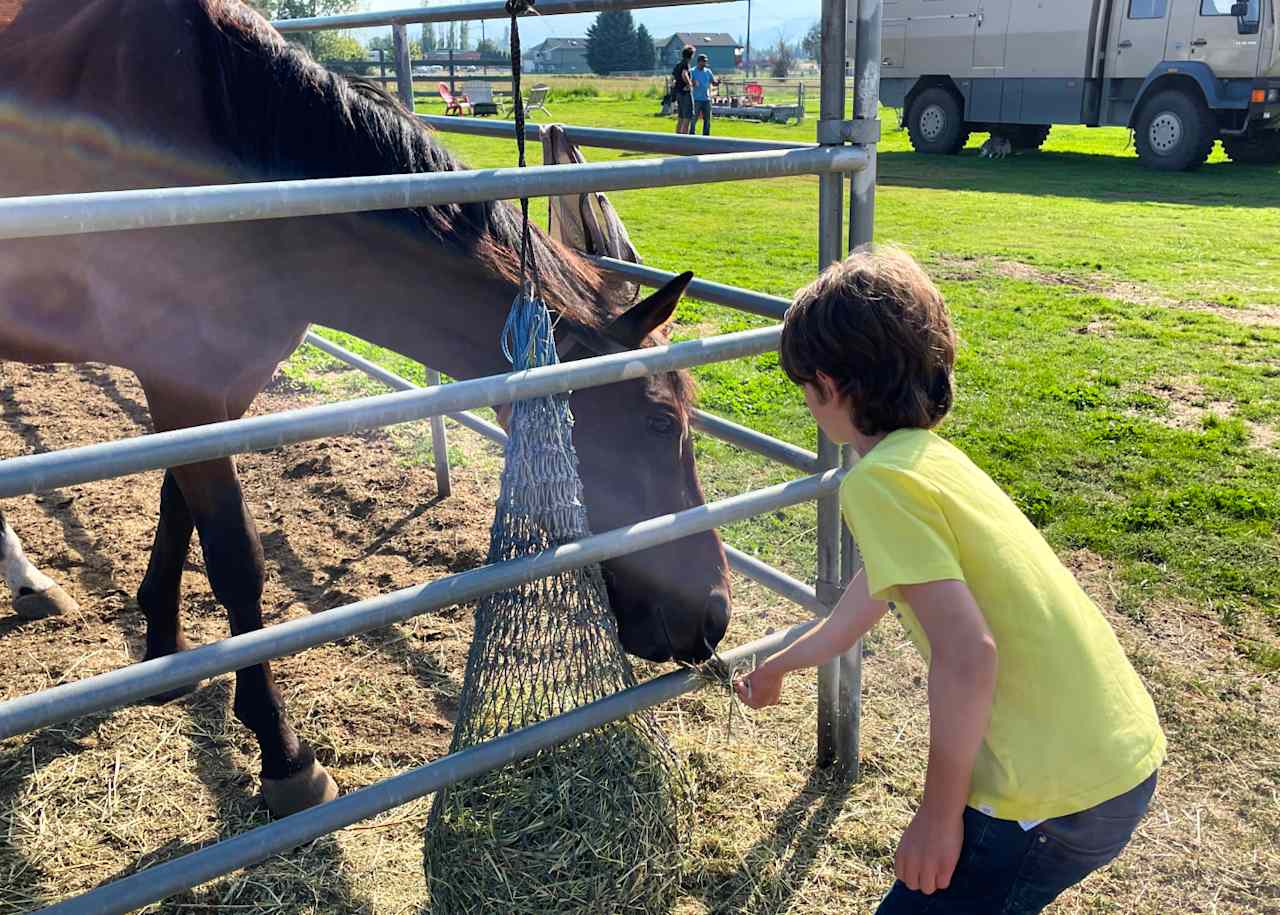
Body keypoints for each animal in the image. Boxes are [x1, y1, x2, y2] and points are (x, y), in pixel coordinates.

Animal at [0, 0, 732, 813]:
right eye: (658, 421)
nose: (714, 615)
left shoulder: (211, 380)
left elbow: (177, 510)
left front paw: (164, 647)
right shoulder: (181, 380)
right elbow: (235, 558)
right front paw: (282, 753)